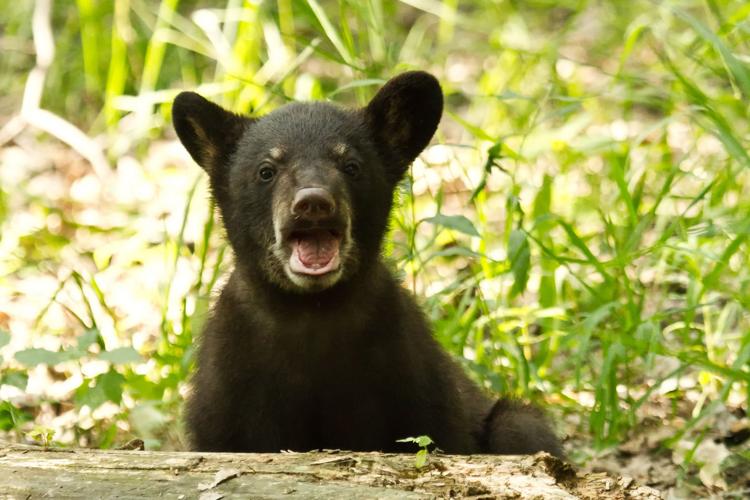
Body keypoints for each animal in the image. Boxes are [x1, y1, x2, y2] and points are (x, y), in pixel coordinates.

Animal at [172, 71, 562, 457]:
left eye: (351, 166)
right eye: (266, 171)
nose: (313, 203)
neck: (310, 311)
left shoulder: (408, 376)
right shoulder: (228, 392)